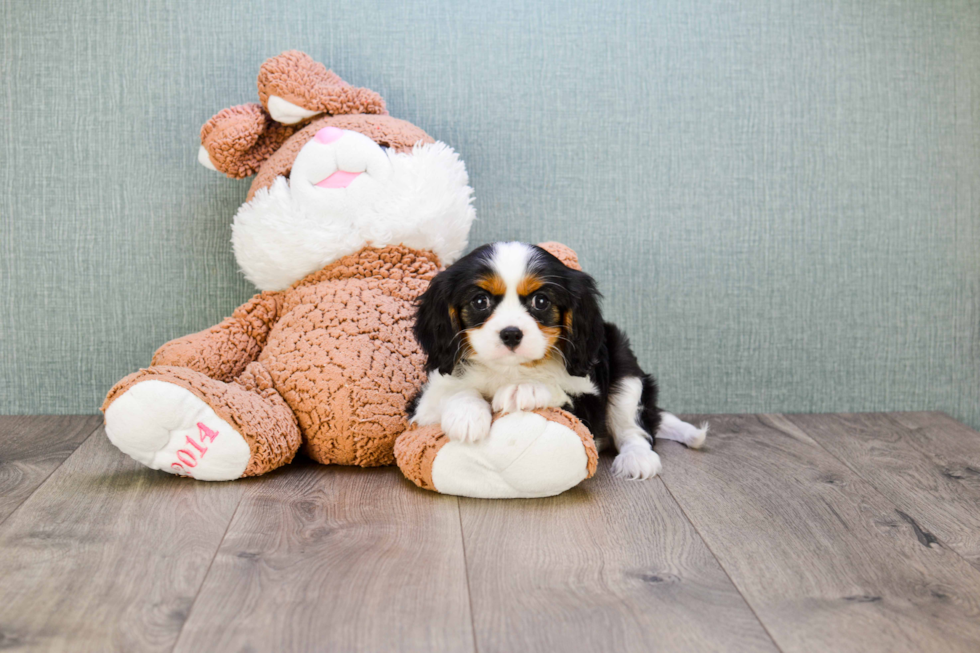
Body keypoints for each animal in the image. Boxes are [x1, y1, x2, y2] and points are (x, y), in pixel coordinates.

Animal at [406, 242, 704, 476]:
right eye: (480, 302)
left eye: (541, 301)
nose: (511, 333)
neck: (510, 369)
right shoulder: (422, 404)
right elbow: (455, 393)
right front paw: (466, 416)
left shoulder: (587, 405)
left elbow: (558, 391)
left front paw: (523, 389)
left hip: (625, 367)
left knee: (634, 428)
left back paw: (637, 459)